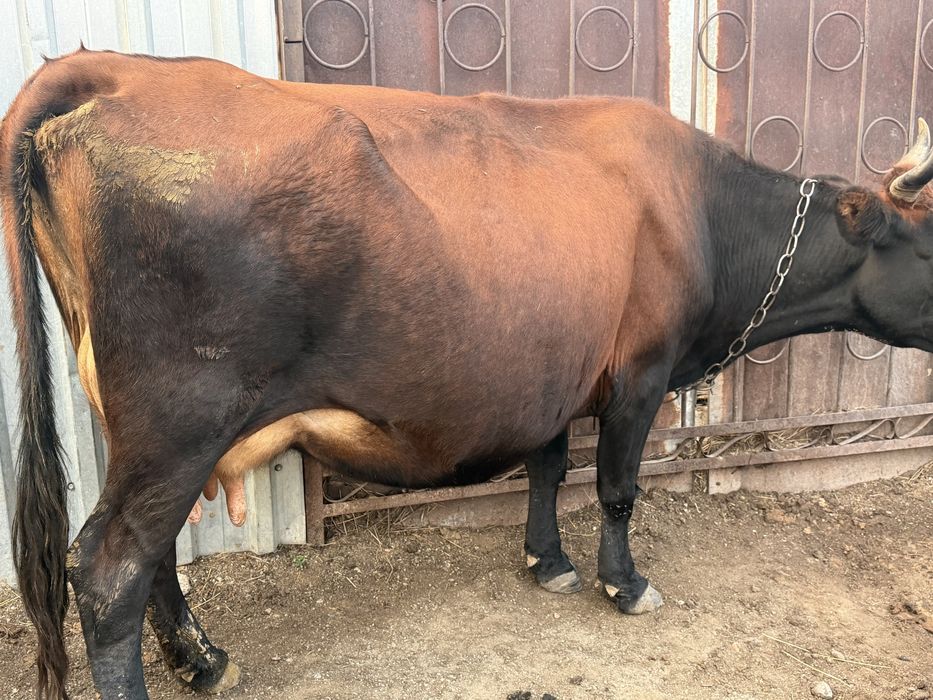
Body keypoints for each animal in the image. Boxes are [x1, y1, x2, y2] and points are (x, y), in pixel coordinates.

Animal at [2, 48, 932, 699]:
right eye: (924, 242)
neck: (698, 209)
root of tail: (117, 69)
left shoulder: (557, 372)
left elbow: (549, 467)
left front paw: (546, 561)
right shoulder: (640, 370)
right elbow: (615, 488)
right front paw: (623, 583)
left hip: (136, 422)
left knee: (150, 549)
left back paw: (201, 659)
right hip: (184, 413)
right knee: (110, 567)